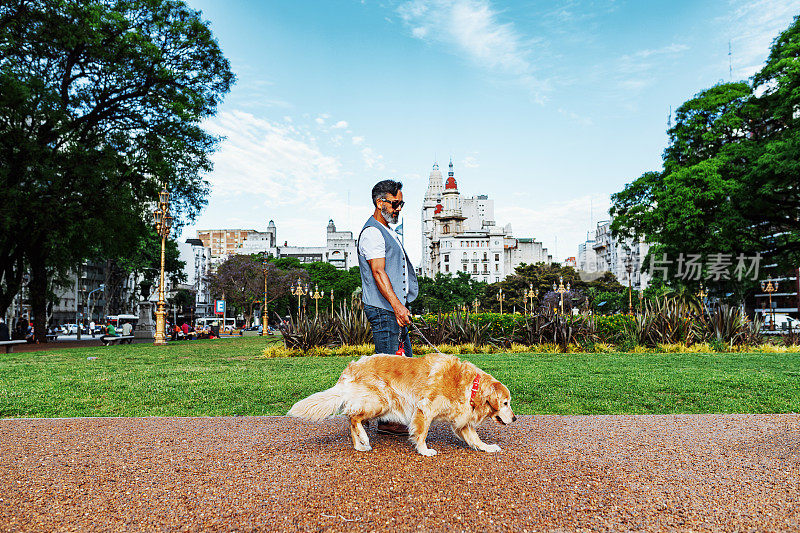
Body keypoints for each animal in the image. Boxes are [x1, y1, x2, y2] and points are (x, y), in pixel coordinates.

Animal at [290, 352, 516, 456]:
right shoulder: (425, 409)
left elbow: (475, 439)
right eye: (505, 403)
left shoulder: (462, 421)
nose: (514, 418)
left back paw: (360, 445)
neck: (471, 386)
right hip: (379, 401)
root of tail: (352, 366)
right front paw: (424, 450)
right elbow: (422, 433)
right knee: (353, 418)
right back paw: (364, 438)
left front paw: (488, 447)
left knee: (351, 419)